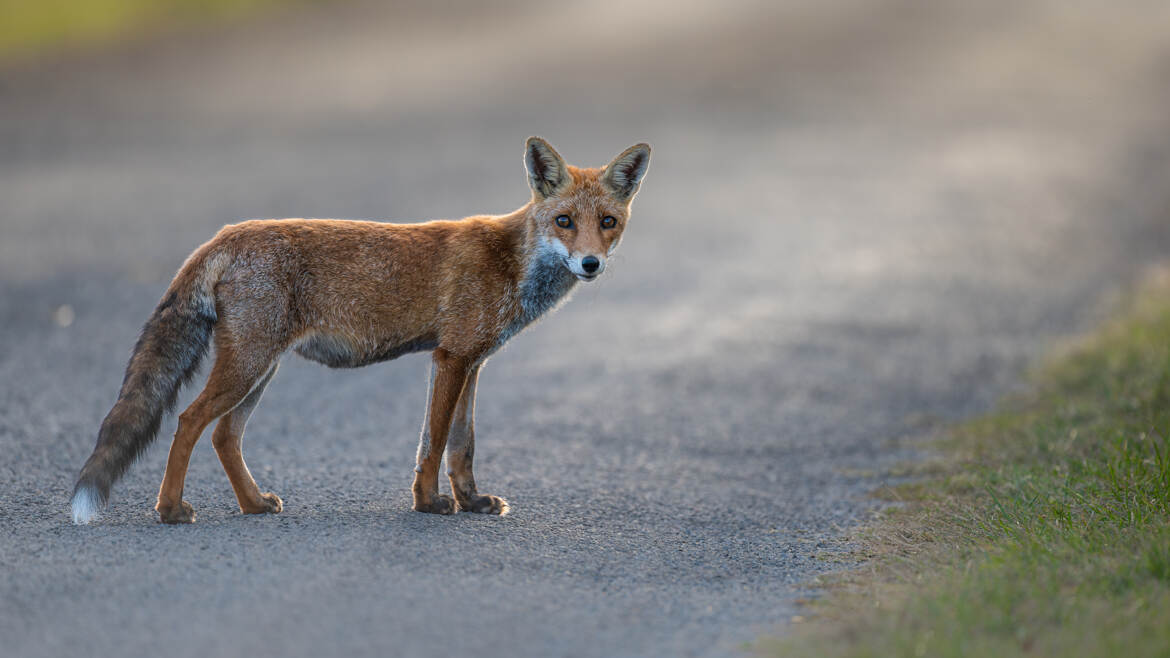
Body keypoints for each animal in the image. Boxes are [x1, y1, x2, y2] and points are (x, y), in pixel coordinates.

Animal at [69, 136, 655, 522]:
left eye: (608, 223)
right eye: (564, 222)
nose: (590, 265)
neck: (510, 262)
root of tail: (226, 233)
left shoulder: (472, 361)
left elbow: (462, 445)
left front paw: (471, 501)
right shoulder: (450, 358)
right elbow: (434, 444)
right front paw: (430, 504)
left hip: (261, 369)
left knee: (224, 435)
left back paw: (253, 505)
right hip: (249, 365)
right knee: (189, 422)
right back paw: (170, 509)